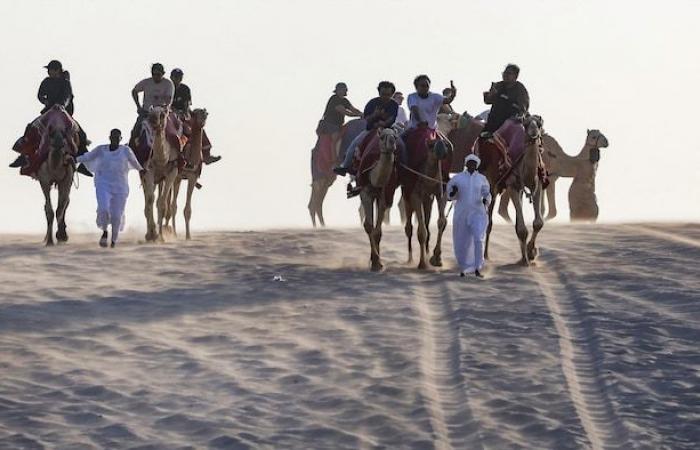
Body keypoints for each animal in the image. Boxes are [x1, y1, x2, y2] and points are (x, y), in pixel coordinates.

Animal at [139, 107, 180, 243]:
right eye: (150, 113)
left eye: (162, 114)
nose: (152, 119)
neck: (162, 159)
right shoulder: (149, 170)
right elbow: (150, 199)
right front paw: (152, 234)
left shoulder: (173, 172)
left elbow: (162, 203)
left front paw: (160, 236)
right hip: (144, 175)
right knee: (148, 200)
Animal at [170, 108, 208, 239]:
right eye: (196, 114)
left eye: (206, 114)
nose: (202, 122)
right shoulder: (178, 176)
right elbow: (173, 206)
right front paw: (175, 234)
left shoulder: (193, 177)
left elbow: (188, 210)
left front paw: (188, 235)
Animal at [360, 128, 400, 272]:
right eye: (382, 137)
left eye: (396, 136)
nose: (392, 142)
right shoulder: (365, 193)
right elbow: (368, 226)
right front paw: (376, 261)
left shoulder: (383, 196)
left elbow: (377, 231)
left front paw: (377, 262)